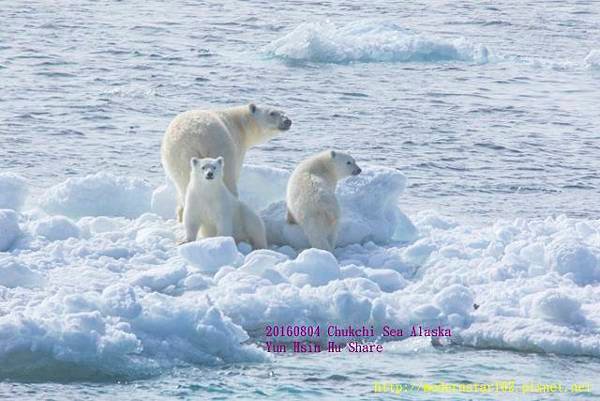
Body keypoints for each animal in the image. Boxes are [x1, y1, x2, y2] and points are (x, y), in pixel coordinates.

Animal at [159, 103, 290, 220]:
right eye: (272, 113)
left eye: (283, 111)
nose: (288, 121)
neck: (239, 124)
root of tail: (196, 137)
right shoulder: (237, 147)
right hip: (220, 148)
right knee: (227, 179)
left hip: (177, 159)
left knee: (183, 185)